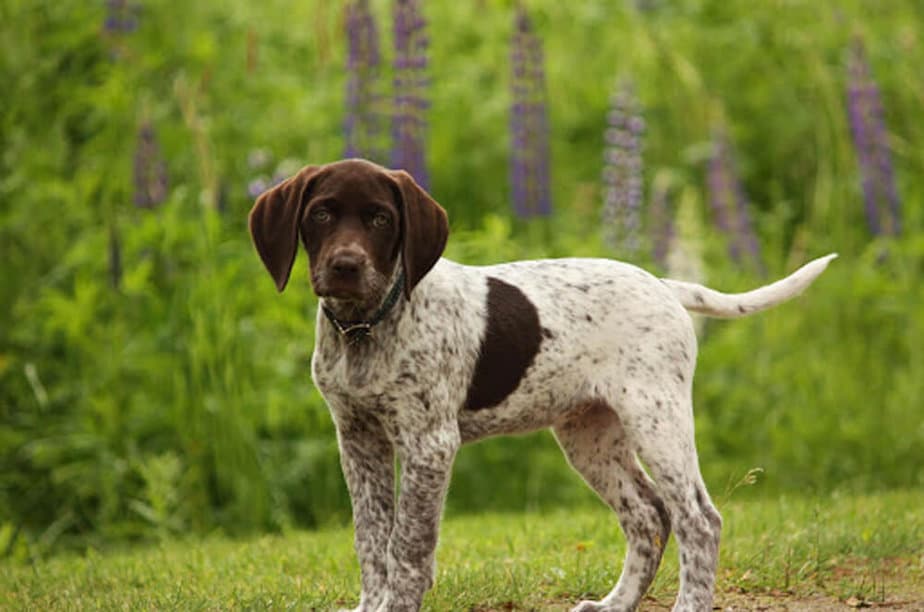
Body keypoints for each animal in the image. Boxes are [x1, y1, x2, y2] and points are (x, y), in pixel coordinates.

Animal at [249, 159, 832, 612]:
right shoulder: (358, 440)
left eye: (381, 218)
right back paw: (616, 603)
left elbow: (408, 548)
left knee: (698, 520)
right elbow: (371, 541)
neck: (367, 326)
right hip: (589, 436)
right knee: (648, 514)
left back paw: (689, 603)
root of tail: (663, 285)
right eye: (321, 214)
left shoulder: (429, 444)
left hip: (657, 420)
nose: (345, 266)